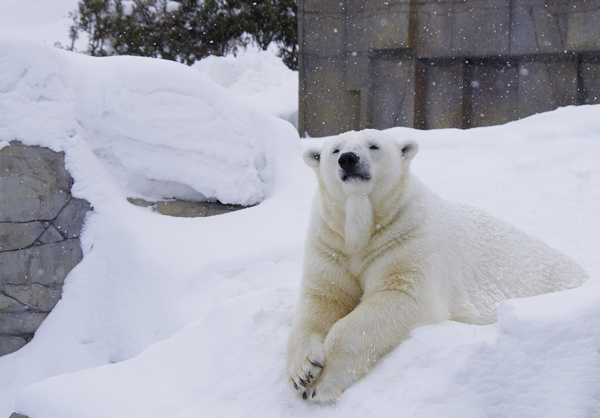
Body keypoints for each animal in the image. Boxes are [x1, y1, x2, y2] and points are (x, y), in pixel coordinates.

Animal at [284, 130, 584, 404]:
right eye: (335, 149)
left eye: (374, 145)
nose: (348, 159)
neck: (365, 231)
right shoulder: (331, 243)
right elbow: (323, 299)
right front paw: (303, 371)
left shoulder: (407, 236)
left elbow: (402, 296)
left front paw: (322, 384)